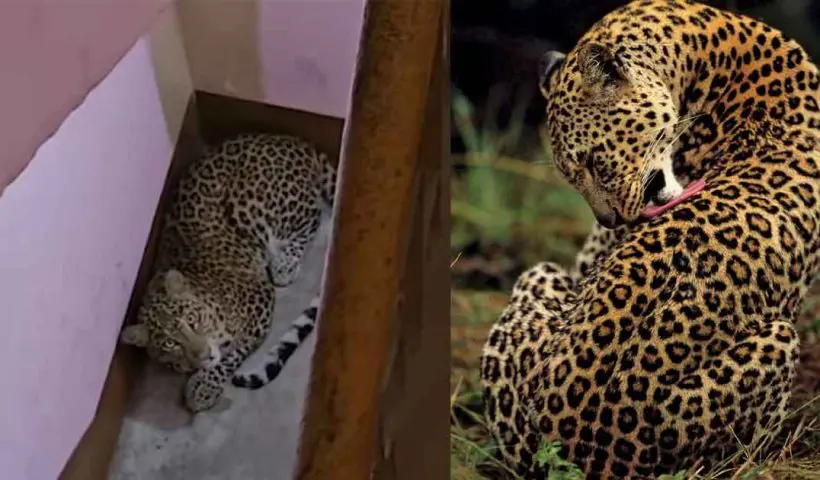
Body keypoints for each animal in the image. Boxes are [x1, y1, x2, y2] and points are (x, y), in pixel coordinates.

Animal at [119, 132, 336, 413]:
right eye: (170, 342)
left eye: (192, 320)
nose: (203, 354)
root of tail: (295, 142)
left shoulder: (260, 303)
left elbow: (231, 355)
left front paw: (203, 387)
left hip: (251, 202)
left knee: (312, 217)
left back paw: (284, 264)